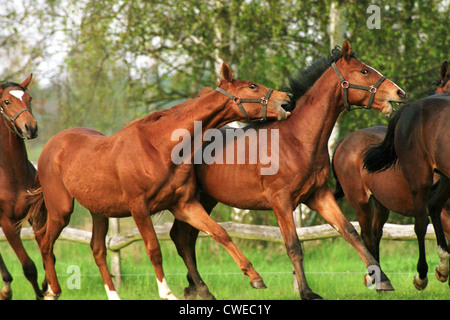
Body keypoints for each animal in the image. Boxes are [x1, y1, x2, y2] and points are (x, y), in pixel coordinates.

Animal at [26, 63, 292, 300]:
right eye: (252, 86)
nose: (285, 99)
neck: (160, 147)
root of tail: (50, 147)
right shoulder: (139, 208)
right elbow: (154, 250)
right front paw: (167, 294)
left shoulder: (184, 205)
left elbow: (220, 232)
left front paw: (255, 277)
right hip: (61, 210)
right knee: (44, 241)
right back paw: (52, 291)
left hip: (99, 212)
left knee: (97, 249)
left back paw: (111, 295)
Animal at [170, 40, 408, 300]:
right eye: (364, 71)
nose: (399, 93)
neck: (297, 139)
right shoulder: (281, 202)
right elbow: (294, 246)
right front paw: (307, 292)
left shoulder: (319, 196)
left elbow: (350, 233)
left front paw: (382, 280)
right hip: (190, 201)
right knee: (183, 237)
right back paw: (201, 288)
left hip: (204, 200)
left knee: (185, 237)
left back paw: (194, 287)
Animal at [364, 94, 450, 292]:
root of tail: (411, 106)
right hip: (420, 178)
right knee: (421, 223)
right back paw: (422, 276)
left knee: (434, 206)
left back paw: (443, 266)